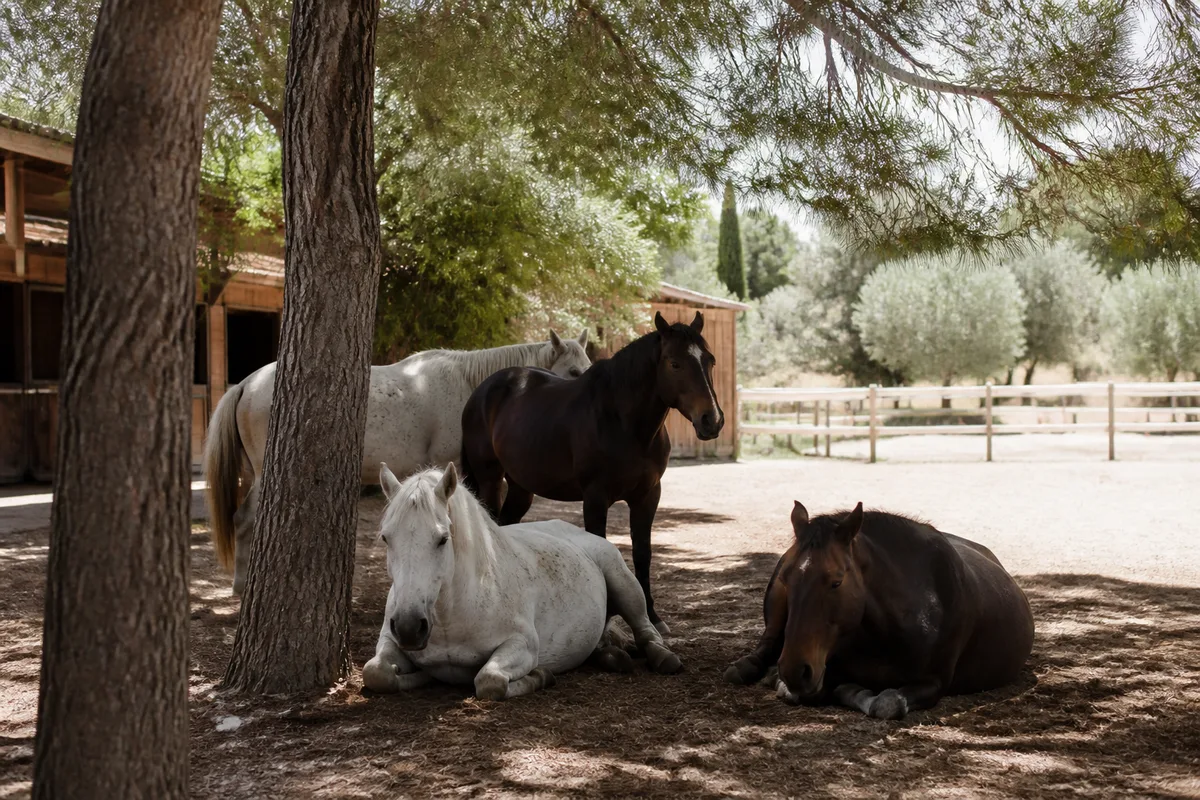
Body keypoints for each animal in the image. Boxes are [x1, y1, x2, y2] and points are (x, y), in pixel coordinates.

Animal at [362, 463, 682, 699]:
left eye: (442, 539)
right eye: (386, 538)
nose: (408, 627)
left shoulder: (523, 645)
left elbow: (490, 681)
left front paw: (541, 676)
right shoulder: (389, 640)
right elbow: (376, 673)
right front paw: (417, 675)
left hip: (624, 583)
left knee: (646, 629)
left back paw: (662, 658)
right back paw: (613, 657)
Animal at [459, 311, 724, 634]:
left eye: (710, 360)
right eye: (675, 363)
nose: (712, 420)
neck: (623, 421)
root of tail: (481, 392)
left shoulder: (648, 496)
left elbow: (643, 554)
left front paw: (653, 616)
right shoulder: (596, 498)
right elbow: (602, 546)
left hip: (521, 488)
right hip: (490, 480)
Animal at [725, 502, 1034, 720]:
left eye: (836, 581)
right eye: (787, 579)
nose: (793, 670)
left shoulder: (934, 682)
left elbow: (887, 703)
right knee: (768, 642)